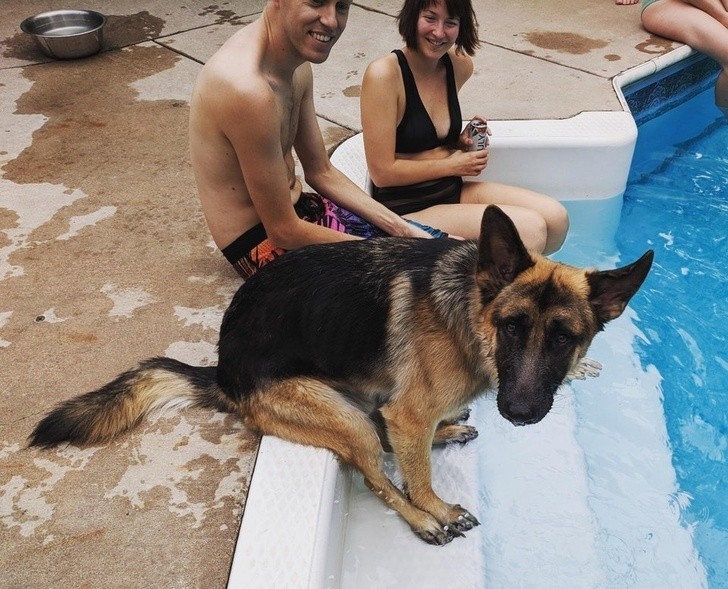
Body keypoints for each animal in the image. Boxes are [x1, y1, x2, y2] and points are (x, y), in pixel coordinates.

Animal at [29, 206, 653, 545]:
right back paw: (421, 516)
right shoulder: (409, 412)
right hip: (341, 417)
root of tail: (225, 372)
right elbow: (417, 478)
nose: (520, 412)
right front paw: (436, 510)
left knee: (387, 441)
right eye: (512, 327)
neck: (469, 318)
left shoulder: (409, 411)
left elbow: (413, 445)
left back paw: (446, 430)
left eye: (564, 338)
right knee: (378, 471)